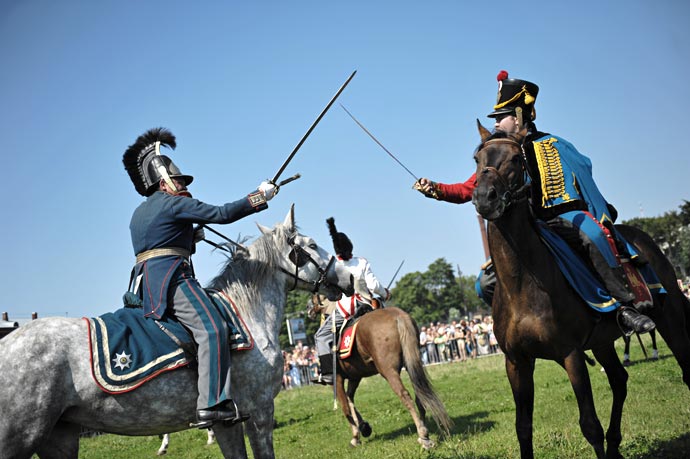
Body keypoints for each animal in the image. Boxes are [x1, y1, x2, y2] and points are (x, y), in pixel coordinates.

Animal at [0, 207, 352, 458]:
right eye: (311, 245)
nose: (346, 277)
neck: (246, 313)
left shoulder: (228, 421)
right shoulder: (260, 410)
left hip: (59, 438)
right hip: (21, 437)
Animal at [308, 294, 452, 450]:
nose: (308, 309)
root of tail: (397, 316)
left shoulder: (337, 379)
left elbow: (345, 406)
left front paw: (355, 436)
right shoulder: (355, 377)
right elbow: (350, 398)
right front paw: (364, 427)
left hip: (388, 371)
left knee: (405, 395)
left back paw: (423, 436)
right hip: (411, 364)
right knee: (420, 394)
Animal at [468, 122, 688, 459]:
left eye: (516, 159)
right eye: (477, 159)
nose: (484, 198)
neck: (522, 286)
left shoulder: (570, 355)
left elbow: (589, 425)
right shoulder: (517, 362)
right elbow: (523, 427)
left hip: (670, 316)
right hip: (602, 341)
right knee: (619, 379)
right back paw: (615, 446)